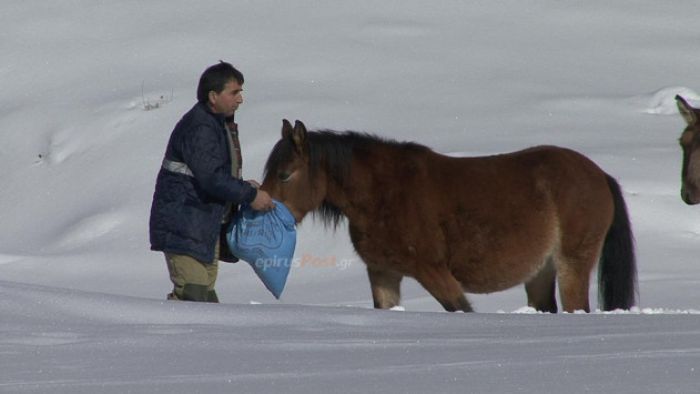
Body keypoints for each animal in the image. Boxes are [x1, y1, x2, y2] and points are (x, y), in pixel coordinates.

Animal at [260, 118, 636, 312]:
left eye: (284, 175)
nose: (259, 206)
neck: (383, 192)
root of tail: (599, 175)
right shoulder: (383, 273)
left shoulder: (434, 272)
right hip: (541, 273)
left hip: (572, 264)